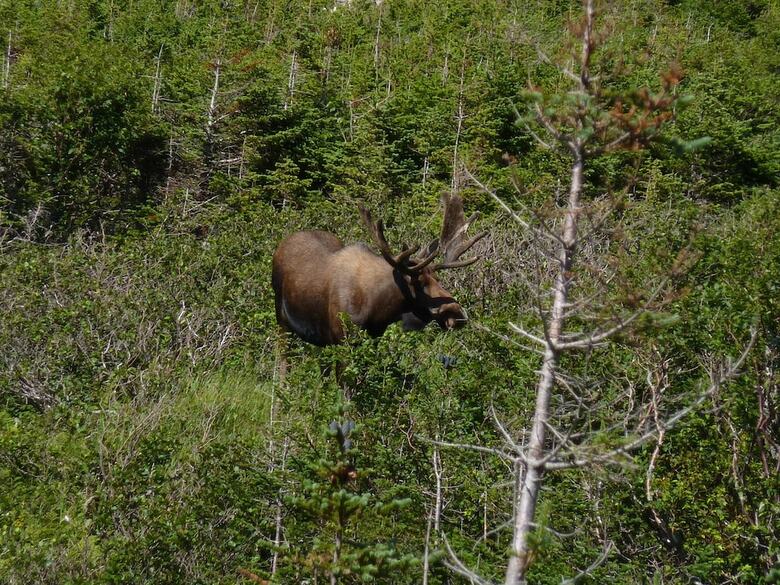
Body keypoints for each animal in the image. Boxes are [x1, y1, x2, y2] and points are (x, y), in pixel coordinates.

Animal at [271, 195, 485, 383]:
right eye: (418, 282)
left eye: (438, 279)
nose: (458, 313)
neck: (377, 308)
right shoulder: (343, 341)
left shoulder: (371, 339)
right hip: (282, 318)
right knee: (283, 363)